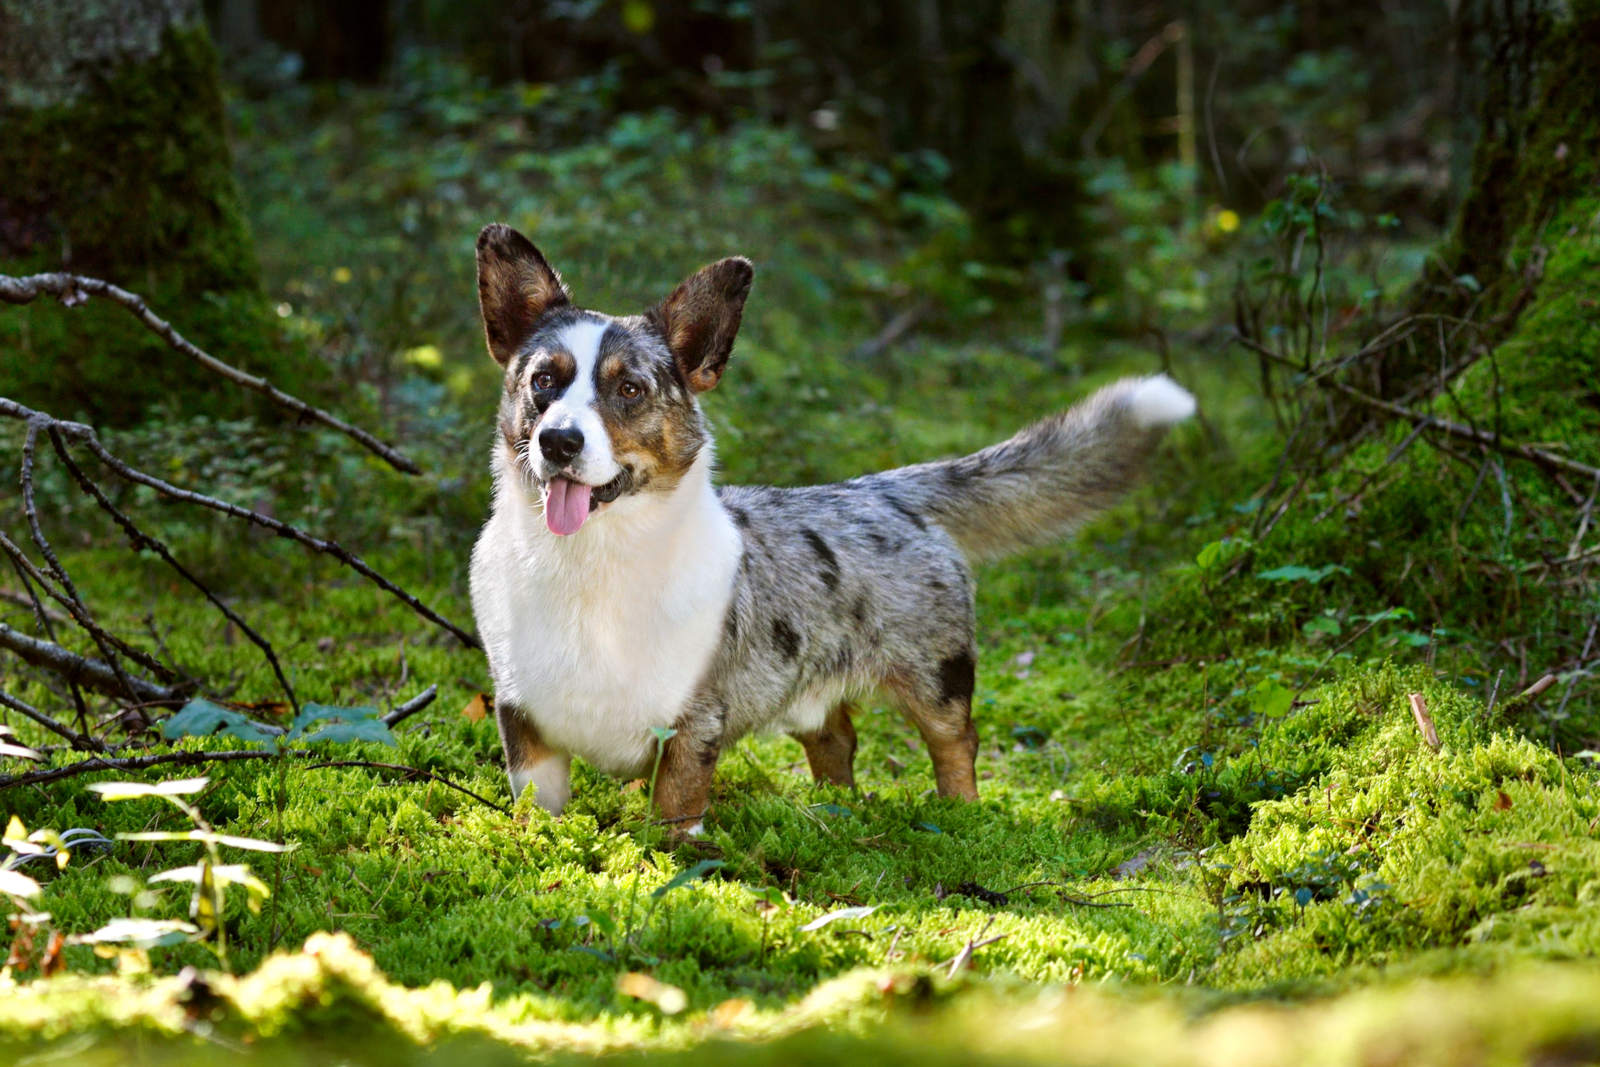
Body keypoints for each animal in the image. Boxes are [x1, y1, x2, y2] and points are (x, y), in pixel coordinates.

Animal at [467, 225, 1196, 831]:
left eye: (630, 391)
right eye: (543, 381)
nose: (559, 442)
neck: (590, 563)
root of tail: (884, 488)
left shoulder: (695, 719)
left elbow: (674, 806)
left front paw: (668, 859)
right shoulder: (521, 719)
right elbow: (537, 803)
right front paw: (542, 847)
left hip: (937, 675)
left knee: (955, 740)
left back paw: (960, 814)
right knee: (836, 737)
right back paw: (834, 808)